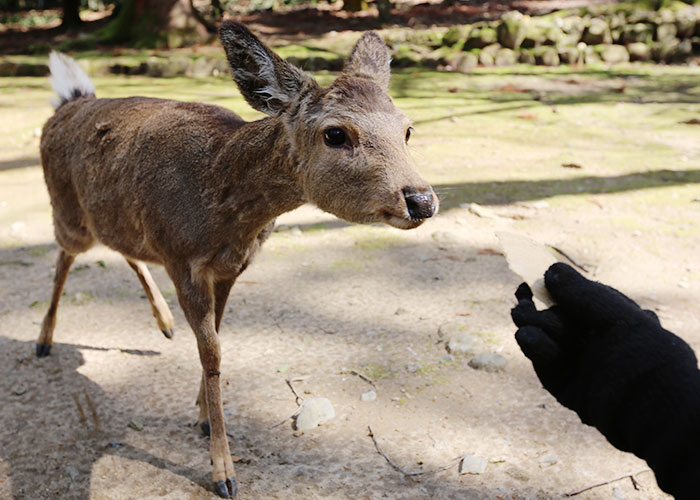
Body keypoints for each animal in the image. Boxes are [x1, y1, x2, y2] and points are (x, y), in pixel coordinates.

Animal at [37, 21, 438, 498]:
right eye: (336, 133)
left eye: (408, 129)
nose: (421, 200)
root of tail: (67, 102)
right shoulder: (182, 258)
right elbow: (212, 352)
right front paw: (223, 471)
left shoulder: (231, 266)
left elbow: (216, 337)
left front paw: (202, 417)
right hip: (68, 214)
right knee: (63, 258)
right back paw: (44, 340)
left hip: (114, 221)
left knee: (123, 251)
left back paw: (164, 324)